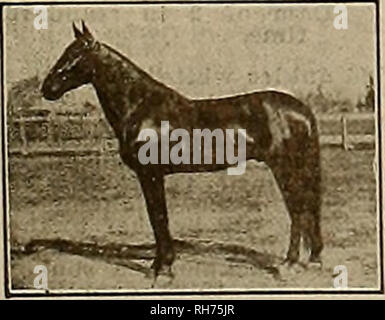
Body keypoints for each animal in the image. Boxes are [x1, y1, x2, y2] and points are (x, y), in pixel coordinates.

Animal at [41, 21, 320, 278]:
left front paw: (162, 268)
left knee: (298, 209)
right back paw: (310, 259)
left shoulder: (151, 174)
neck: (141, 107)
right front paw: (162, 264)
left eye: (75, 53)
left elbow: (158, 217)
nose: (47, 88)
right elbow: (158, 218)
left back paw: (289, 264)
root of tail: (301, 110)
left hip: (284, 167)